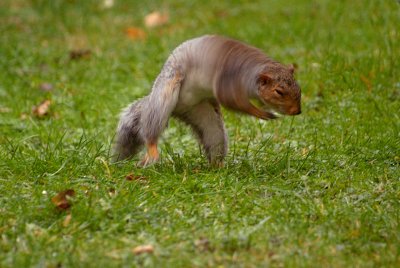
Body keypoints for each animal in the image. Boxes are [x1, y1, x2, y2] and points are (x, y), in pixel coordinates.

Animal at [112, 34, 300, 166]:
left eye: (299, 88)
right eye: (279, 91)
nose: (297, 111)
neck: (250, 71)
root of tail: (178, 108)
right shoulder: (227, 83)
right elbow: (236, 103)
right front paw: (261, 113)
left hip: (204, 116)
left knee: (214, 136)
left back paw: (219, 166)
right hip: (165, 95)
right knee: (151, 128)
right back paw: (152, 151)